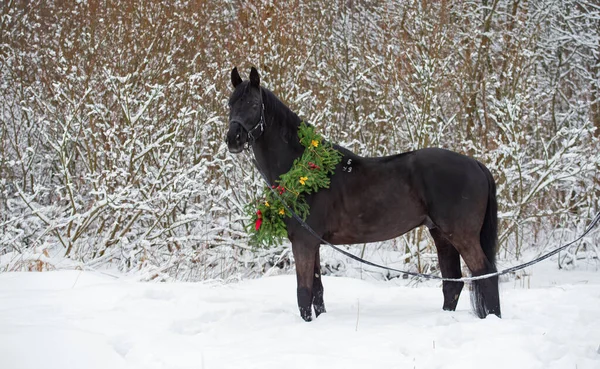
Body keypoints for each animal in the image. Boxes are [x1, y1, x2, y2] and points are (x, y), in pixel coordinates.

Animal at [226, 67, 502, 320]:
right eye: (230, 103)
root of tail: (476, 164)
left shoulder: (303, 242)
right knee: (452, 282)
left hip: (461, 235)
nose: (233, 139)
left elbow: (303, 292)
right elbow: (317, 291)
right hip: (441, 235)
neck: (300, 167)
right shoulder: (313, 243)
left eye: (253, 104)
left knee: (485, 273)